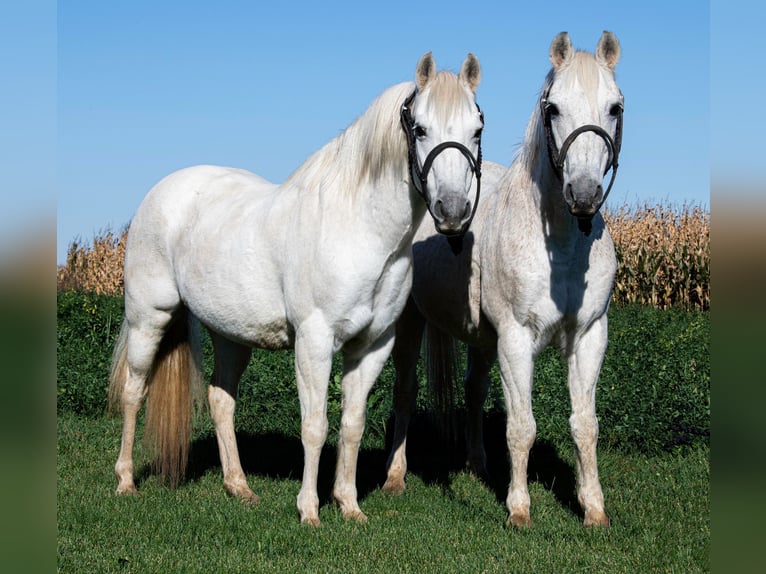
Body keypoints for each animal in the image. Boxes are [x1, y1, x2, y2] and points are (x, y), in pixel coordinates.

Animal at [108, 51, 486, 528]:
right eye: (419, 128)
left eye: (477, 128)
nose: (452, 211)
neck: (358, 230)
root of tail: (160, 192)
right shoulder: (315, 340)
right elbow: (315, 426)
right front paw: (310, 510)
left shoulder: (373, 345)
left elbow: (352, 425)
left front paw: (349, 506)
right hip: (149, 319)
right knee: (133, 391)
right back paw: (125, 481)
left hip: (230, 335)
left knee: (221, 400)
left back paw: (239, 487)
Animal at [384, 29, 624, 528]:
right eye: (553, 108)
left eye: (614, 107)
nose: (584, 193)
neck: (559, 247)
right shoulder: (516, 339)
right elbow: (521, 427)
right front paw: (518, 509)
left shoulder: (589, 336)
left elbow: (585, 426)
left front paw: (593, 509)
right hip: (411, 324)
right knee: (405, 392)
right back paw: (395, 478)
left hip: (481, 340)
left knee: (474, 391)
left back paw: (478, 467)